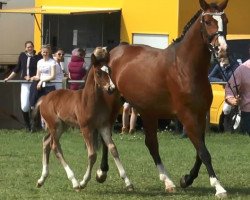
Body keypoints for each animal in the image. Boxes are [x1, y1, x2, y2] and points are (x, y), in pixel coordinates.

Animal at [35, 47, 134, 191]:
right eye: (98, 72)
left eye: (109, 70)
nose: (111, 88)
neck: (90, 101)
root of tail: (44, 98)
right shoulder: (86, 128)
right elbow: (92, 155)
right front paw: (83, 181)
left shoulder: (103, 126)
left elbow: (113, 149)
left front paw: (128, 182)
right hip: (55, 125)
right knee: (55, 146)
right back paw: (74, 182)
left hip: (62, 126)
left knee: (46, 142)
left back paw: (41, 179)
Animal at [96, 0, 230, 198]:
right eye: (207, 21)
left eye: (225, 21)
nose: (222, 50)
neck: (185, 67)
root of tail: (113, 53)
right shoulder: (187, 116)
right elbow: (204, 152)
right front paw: (218, 187)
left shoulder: (200, 115)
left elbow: (200, 151)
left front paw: (186, 179)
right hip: (114, 104)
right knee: (107, 135)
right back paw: (102, 172)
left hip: (148, 112)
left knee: (151, 144)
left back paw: (168, 181)